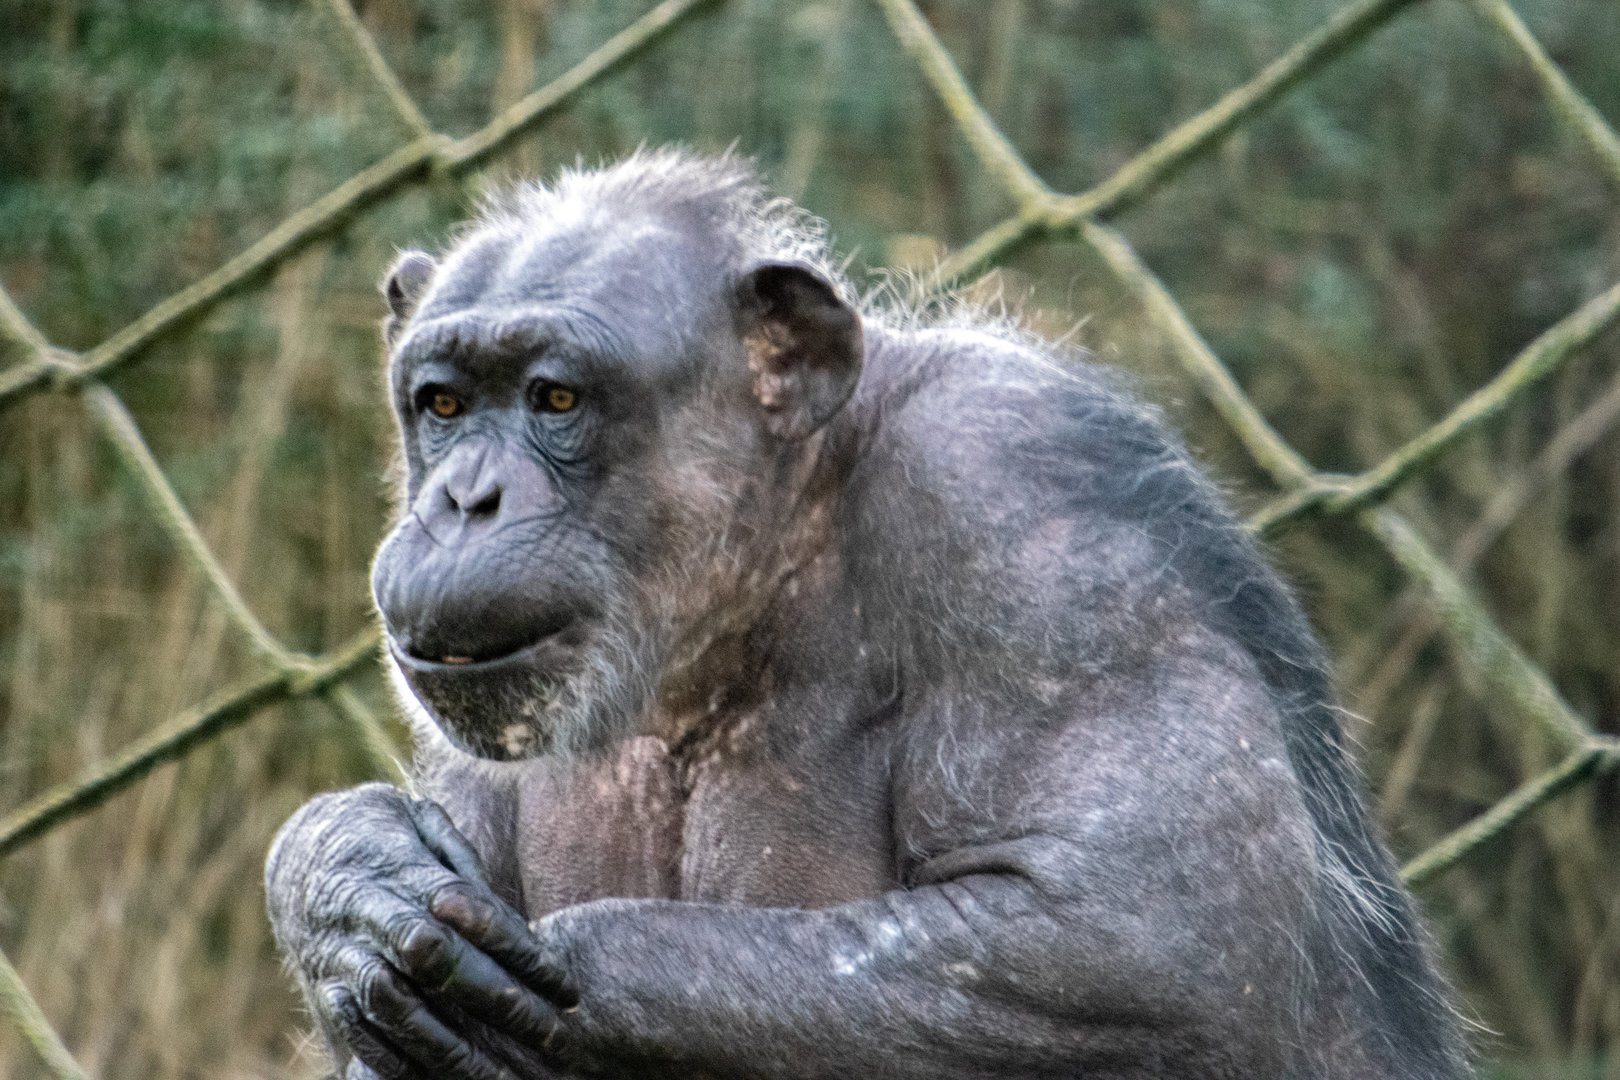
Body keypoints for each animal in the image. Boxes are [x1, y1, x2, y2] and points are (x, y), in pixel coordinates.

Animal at [264, 150, 1470, 1079]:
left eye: (555, 397)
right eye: (444, 404)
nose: (463, 498)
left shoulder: (1026, 516)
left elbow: (1145, 940)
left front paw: (563, 976)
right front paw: (352, 887)